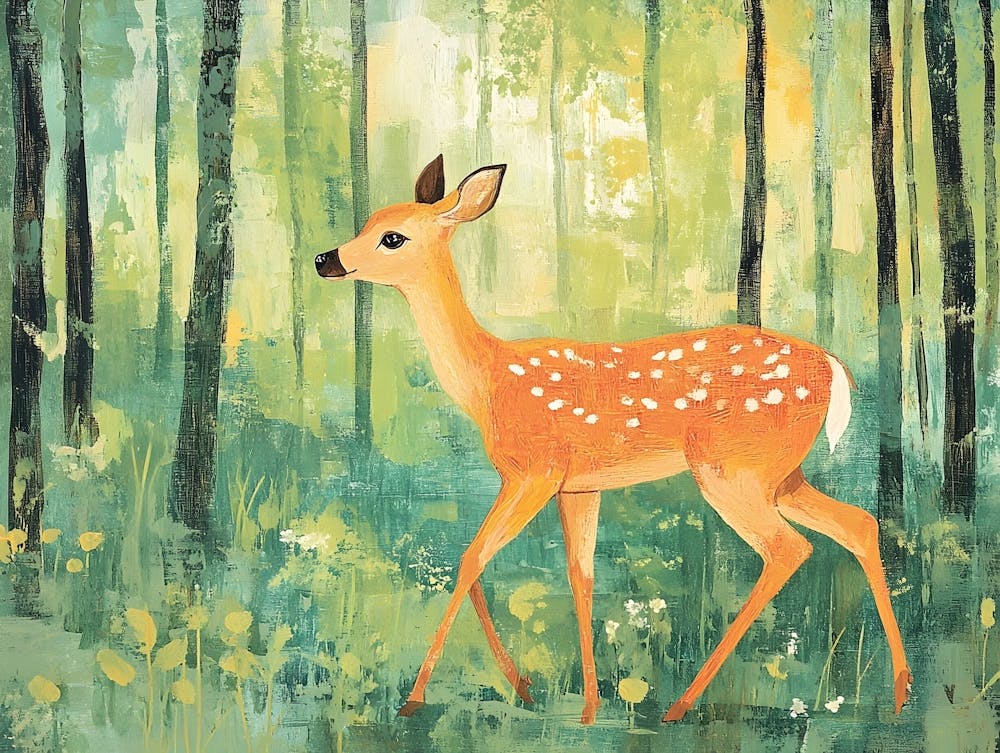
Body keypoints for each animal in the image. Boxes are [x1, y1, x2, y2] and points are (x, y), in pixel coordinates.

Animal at [314, 156, 911, 724]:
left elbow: (470, 558)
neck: (488, 382)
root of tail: (834, 368)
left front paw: (417, 699)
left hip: (731, 466)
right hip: (780, 473)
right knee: (858, 524)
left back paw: (681, 704)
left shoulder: (534, 470)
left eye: (393, 237)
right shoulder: (578, 486)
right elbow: (578, 577)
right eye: (368, 222)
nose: (325, 260)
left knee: (788, 548)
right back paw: (902, 692)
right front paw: (572, 702)